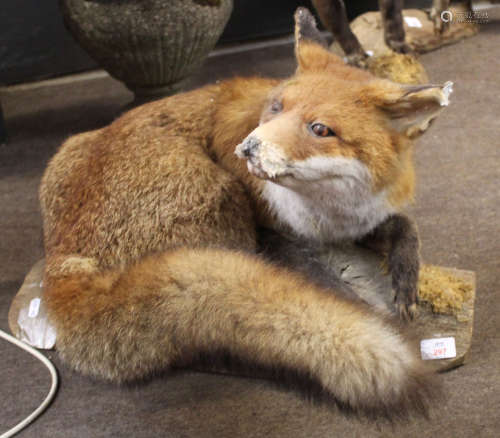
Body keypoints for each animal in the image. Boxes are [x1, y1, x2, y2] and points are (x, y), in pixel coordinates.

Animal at [40, 7, 454, 418]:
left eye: (321, 129)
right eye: (277, 107)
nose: (249, 147)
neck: (325, 209)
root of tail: (63, 263)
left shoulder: (355, 221)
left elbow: (405, 227)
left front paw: (406, 281)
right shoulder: (273, 233)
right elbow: (327, 287)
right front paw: (363, 313)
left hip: (69, 152)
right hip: (224, 197)